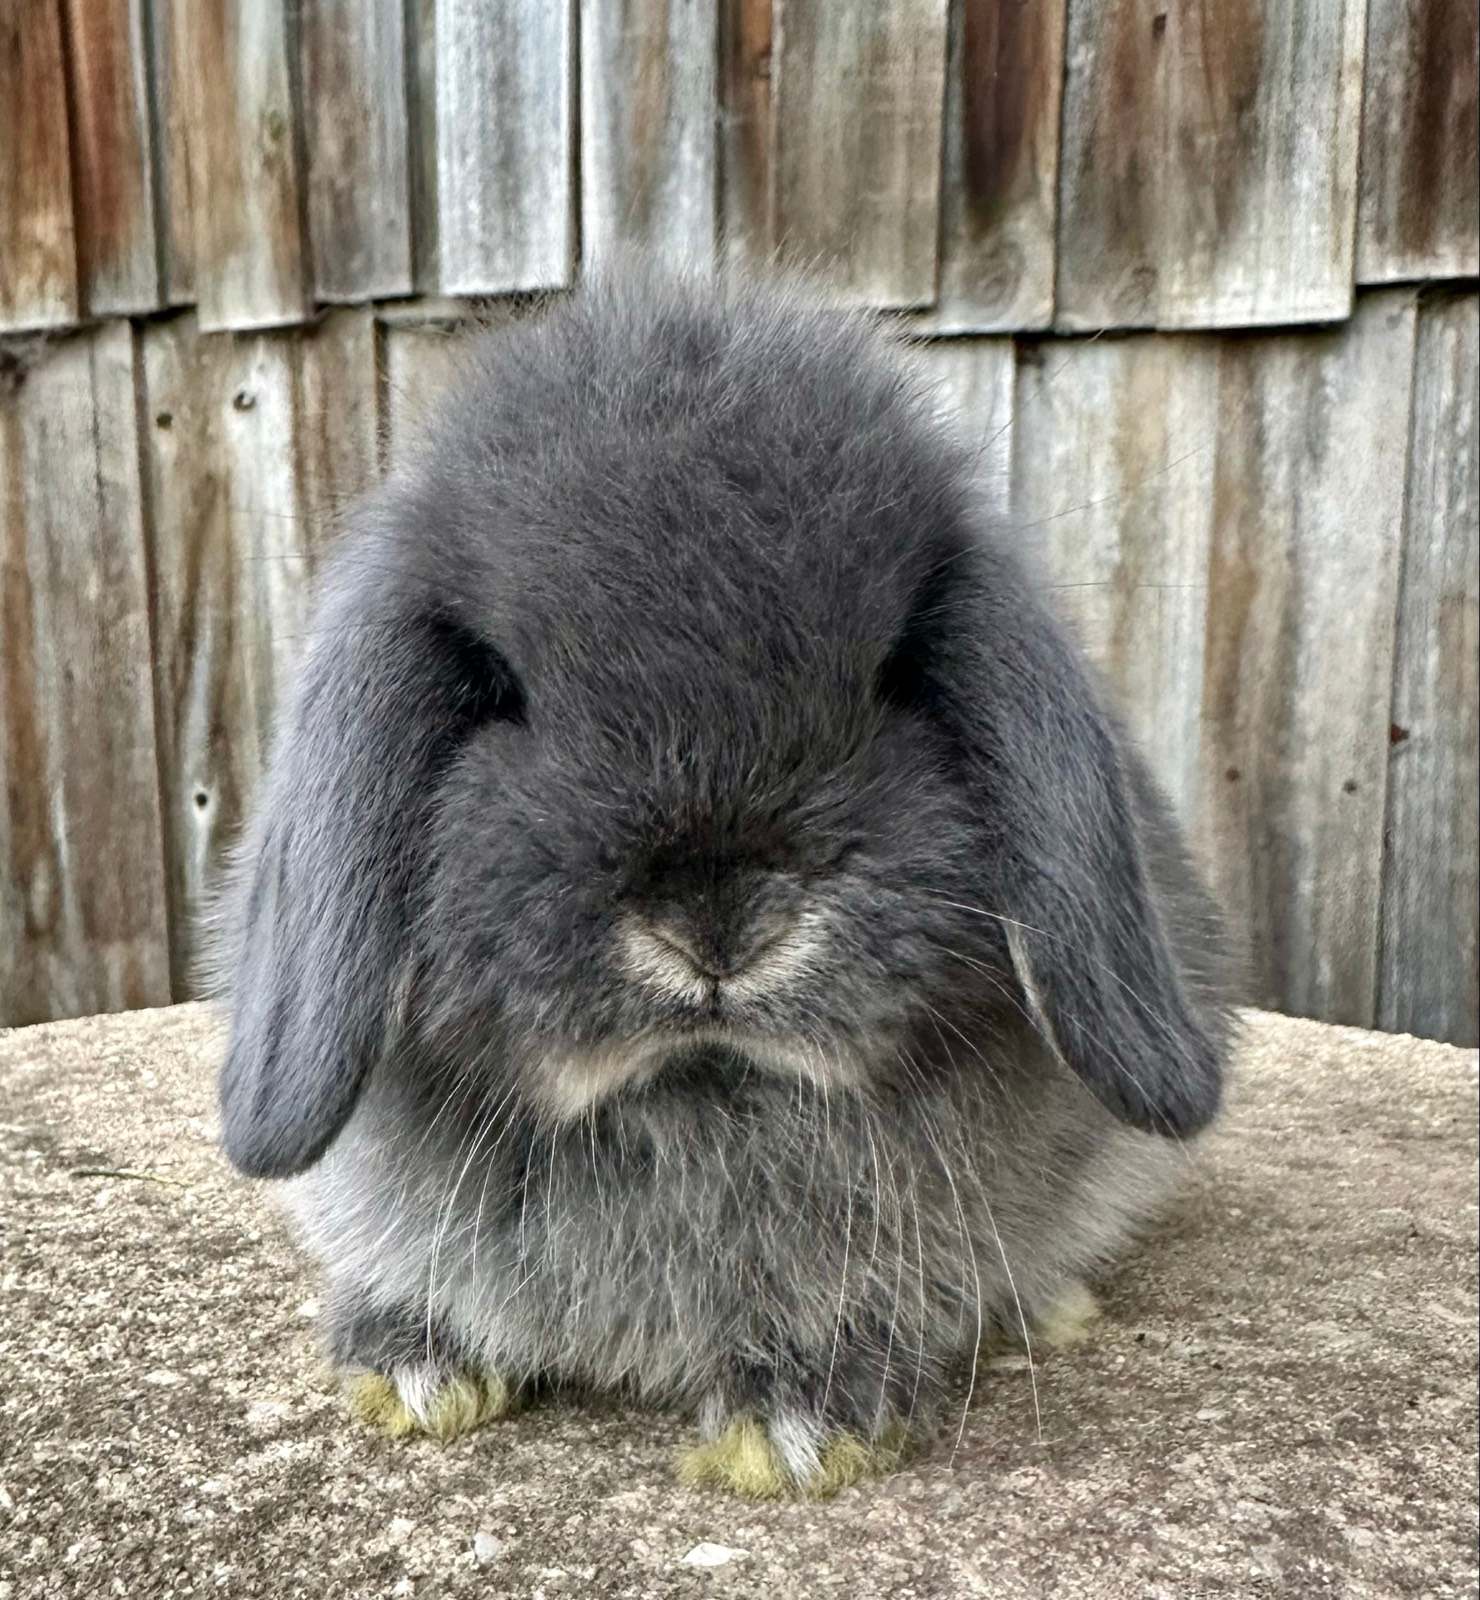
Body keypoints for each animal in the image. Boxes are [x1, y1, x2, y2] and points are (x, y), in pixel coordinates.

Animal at [211, 269, 1234, 1500]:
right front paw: (413, 1367)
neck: (695, 1097)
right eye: (501, 690)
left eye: (896, 675)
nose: (715, 921)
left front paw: (803, 1422)